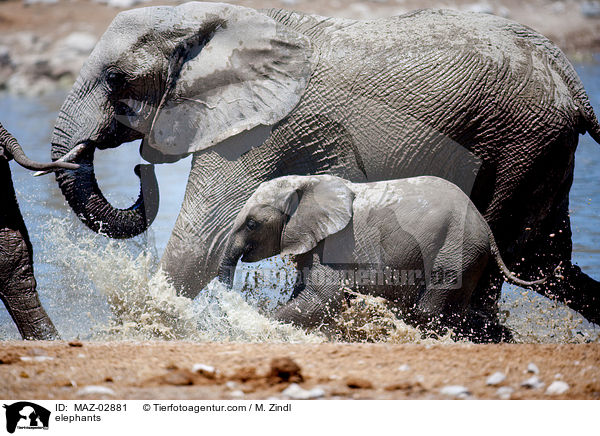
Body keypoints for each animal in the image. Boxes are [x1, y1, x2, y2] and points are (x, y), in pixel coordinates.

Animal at [218, 174, 548, 340]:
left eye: (252, 224)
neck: (307, 184)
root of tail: (486, 228)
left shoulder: (335, 244)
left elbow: (323, 298)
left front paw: (258, 322)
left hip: (455, 249)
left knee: (429, 309)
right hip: (469, 254)